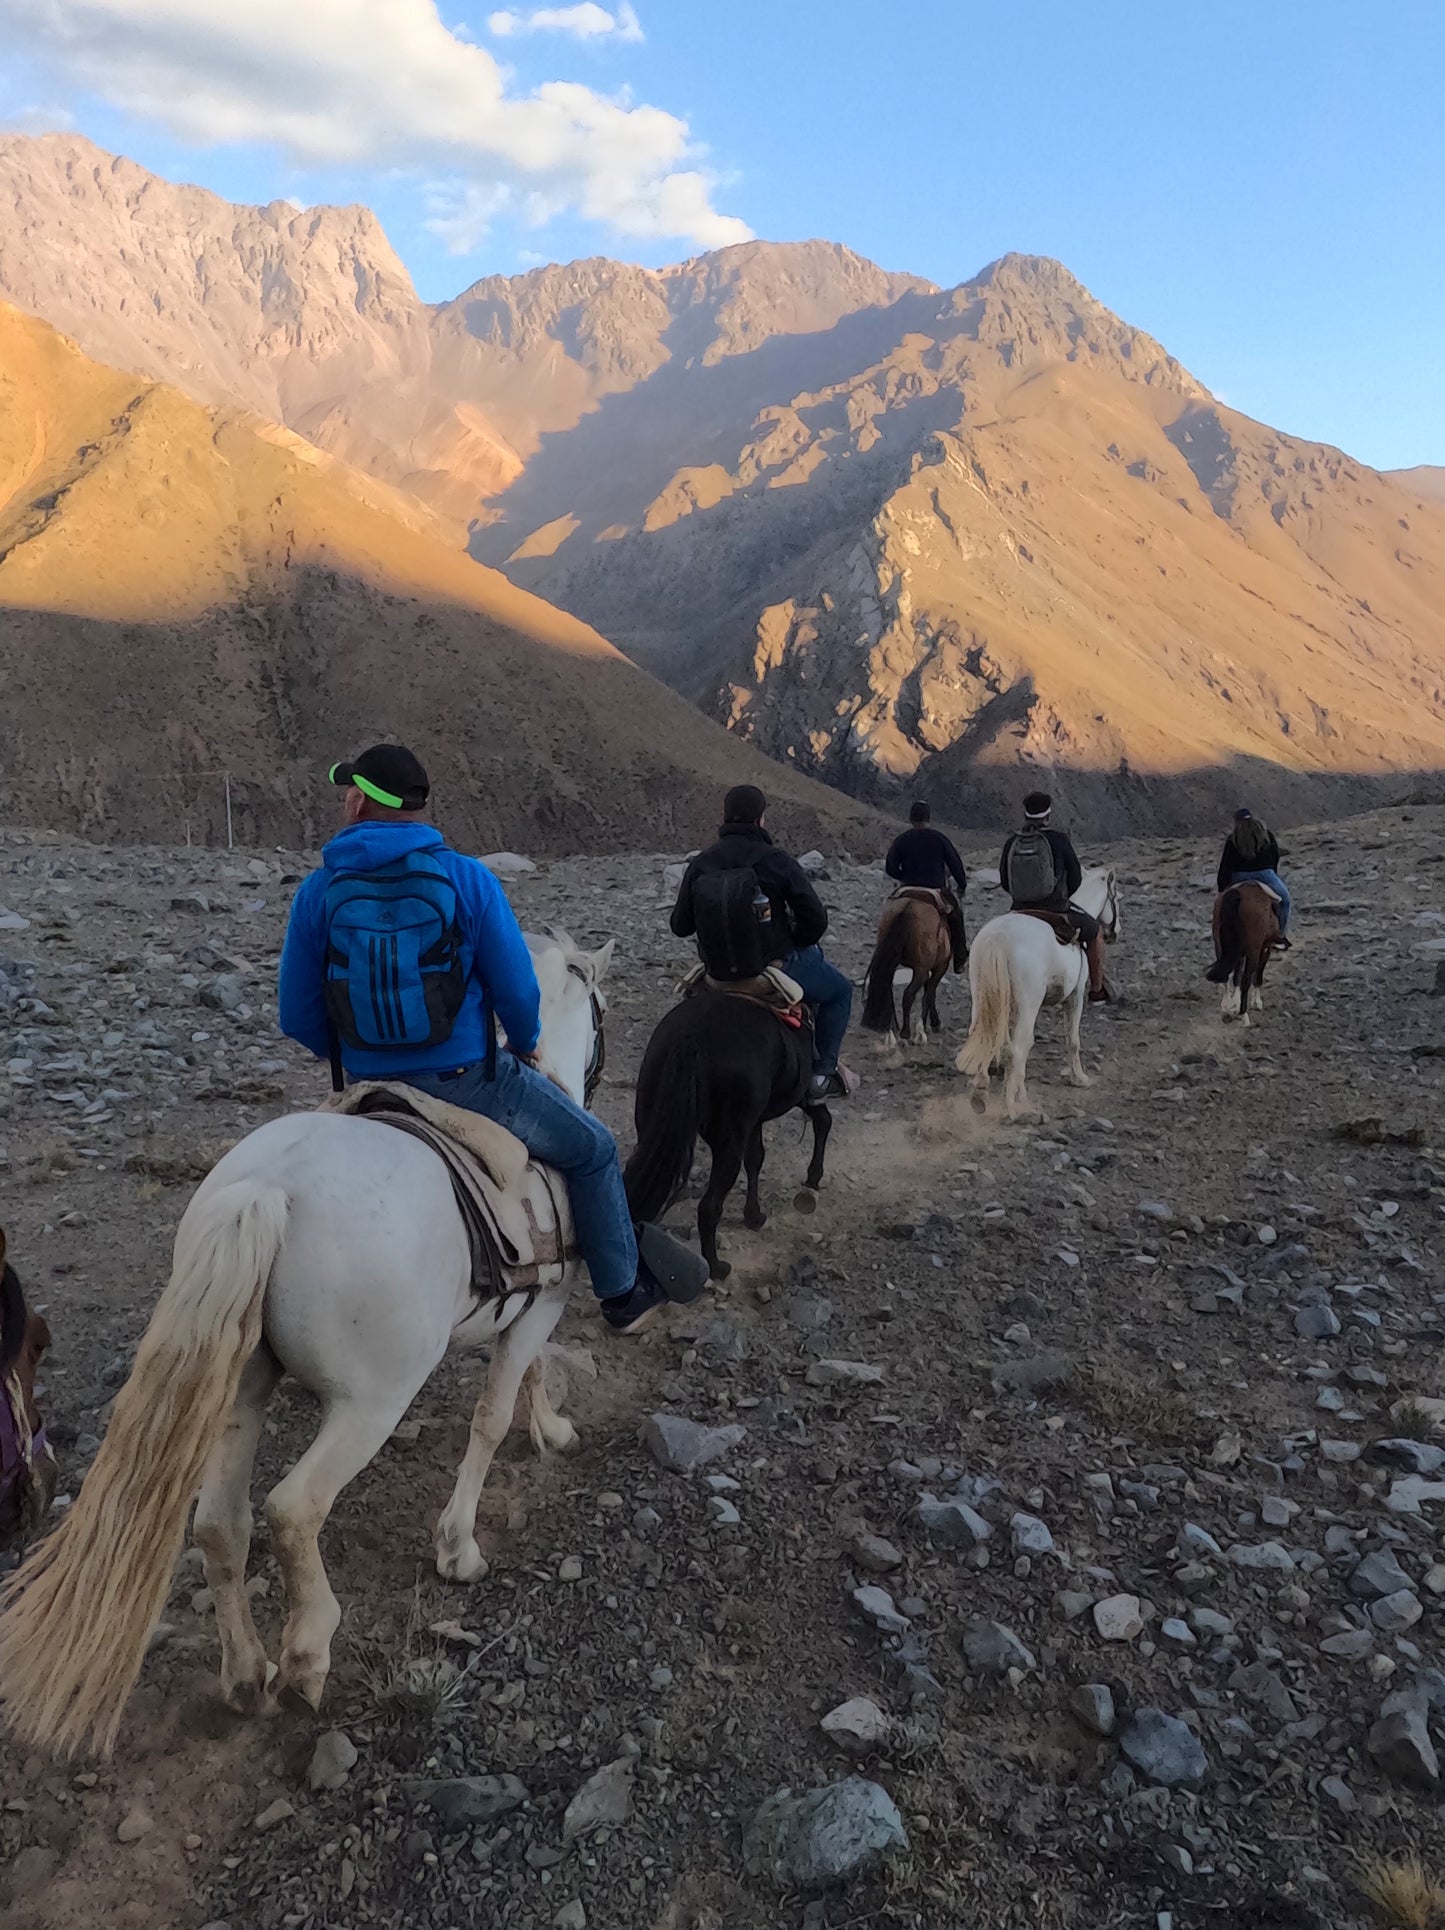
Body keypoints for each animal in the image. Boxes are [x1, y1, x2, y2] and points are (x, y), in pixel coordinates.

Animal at [0, 926, 613, 1760]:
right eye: (602, 1011)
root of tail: (267, 1190)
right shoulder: (540, 1306)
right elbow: (493, 1414)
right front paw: (459, 1546)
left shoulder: (531, 1311)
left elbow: (526, 1381)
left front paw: (549, 1429)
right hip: (370, 1402)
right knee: (293, 1509)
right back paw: (305, 1656)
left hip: (240, 1392)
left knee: (220, 1524)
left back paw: (245, 1674)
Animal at [621, 995, 833, 1281]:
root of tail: (691, 1036)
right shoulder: (800, 1095)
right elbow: (823, 1121)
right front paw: (813, 1178)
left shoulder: (755, 1122)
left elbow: (755, 1158)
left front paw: (753, 1215)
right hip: (727, 1142)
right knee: (709, 1206)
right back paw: (716, 1266)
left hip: (652, 1125)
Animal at [864, 895, 953, 1049]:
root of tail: (906, 908)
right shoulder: (940, 967)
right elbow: (929, 994)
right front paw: (931, 1025)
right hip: (921, 970)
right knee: (909, 994)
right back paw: (906, 1031)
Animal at [953, 872, 1118, 1127]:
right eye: (1116, 897)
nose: (1114, 933)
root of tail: (998, 936)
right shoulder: (1075, 996)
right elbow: (1072, 1039)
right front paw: (1079, 1078)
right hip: (1028, 1005)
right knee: (1016, 1050)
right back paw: (1011, 1109)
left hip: (983, 1000)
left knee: (988, 1040)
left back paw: (981, 1096)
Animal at [1211, 880, 1281, 1019]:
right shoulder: (1265, 948)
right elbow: (1257, 975)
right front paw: (1256, 1002)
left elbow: (1236, 974)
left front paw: (1234, 1003)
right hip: (1253, 950)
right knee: (1246, 978)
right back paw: (1244, 1015)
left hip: (1219, 945)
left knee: (1226, 974)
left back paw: (1226, 1006)